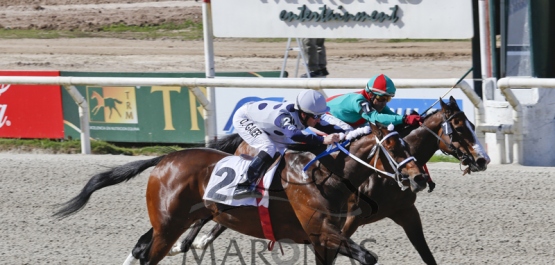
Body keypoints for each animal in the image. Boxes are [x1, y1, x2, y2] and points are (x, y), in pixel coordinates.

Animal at [55, 122, 430, 264]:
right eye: (392, 146)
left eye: (406, 142)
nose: (418, 179)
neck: (328, 175)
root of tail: (165, 158)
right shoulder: (323, 231)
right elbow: (368, 256)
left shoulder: (324, 237)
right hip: (169, 224)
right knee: (149, 254)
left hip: (171, 221)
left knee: (141, 247)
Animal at [172, 96, 488, 262]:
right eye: (459, 128)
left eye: (473, 125)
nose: (483, 160)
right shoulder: (345, 221)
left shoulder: (406, 212)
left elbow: (426, 253)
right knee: (208, 213)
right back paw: (185, 243)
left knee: (218, 216)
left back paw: (194, 241)